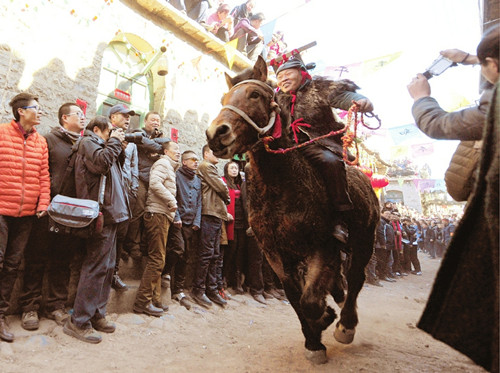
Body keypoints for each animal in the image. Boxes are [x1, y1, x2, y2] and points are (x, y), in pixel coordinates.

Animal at [206, 56, 378, 362]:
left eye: (255, 94)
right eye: (223, 99)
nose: (216, 133)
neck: (281, 187)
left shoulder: (321, 247)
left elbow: (309, 301)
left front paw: (324, 321)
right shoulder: (276, 255)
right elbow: (296, 299)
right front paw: (314, 337)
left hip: (364, 239)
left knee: (356, 277)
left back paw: (346, 325)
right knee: (341, 281)